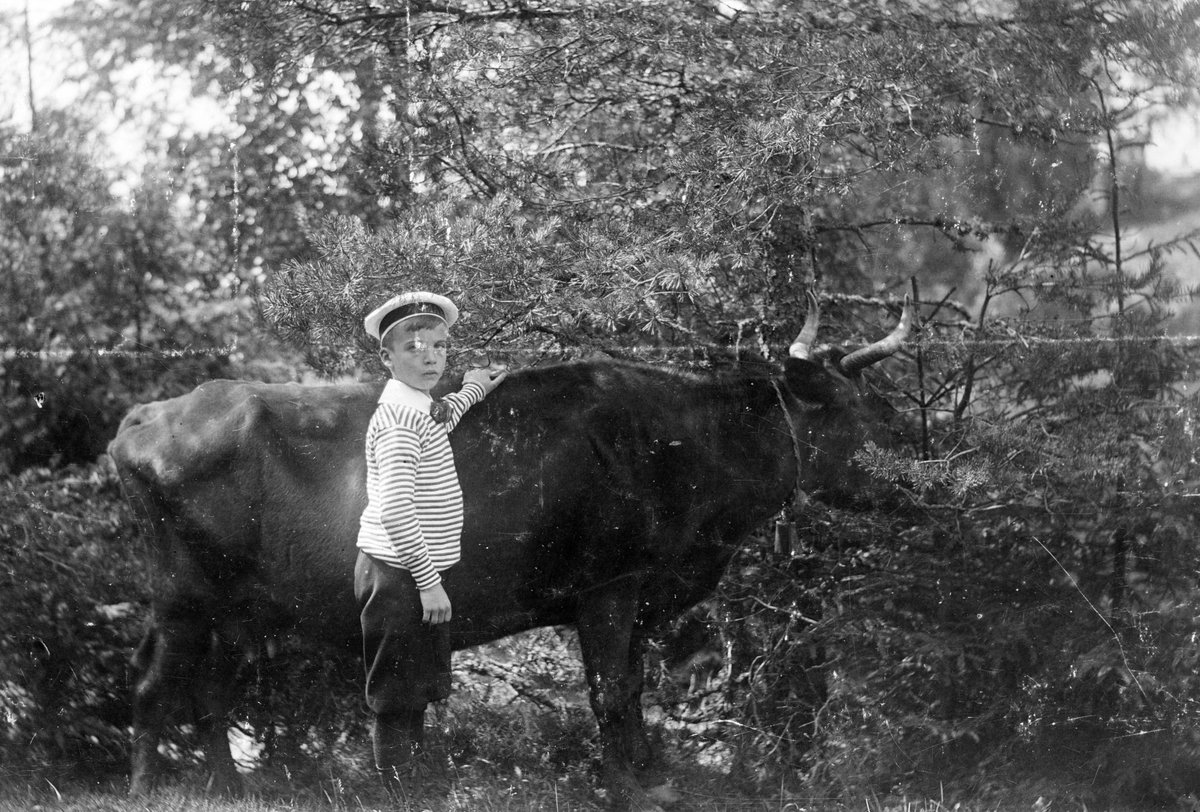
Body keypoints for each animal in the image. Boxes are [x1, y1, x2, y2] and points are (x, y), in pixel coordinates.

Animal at [107, 295, 912, 809]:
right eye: (848, 408)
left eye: (874, 402)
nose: (913, 473)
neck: (680, 446)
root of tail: (153, 412)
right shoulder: (609, 588)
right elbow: (609, 692)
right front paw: (627, 790)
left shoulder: (640, 595)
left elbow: (633, 690)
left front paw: (651, 778)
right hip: (182, 598)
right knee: (152, 685)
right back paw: (144, 789)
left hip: (236, 612)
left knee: (210, 694)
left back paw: (230, 787)